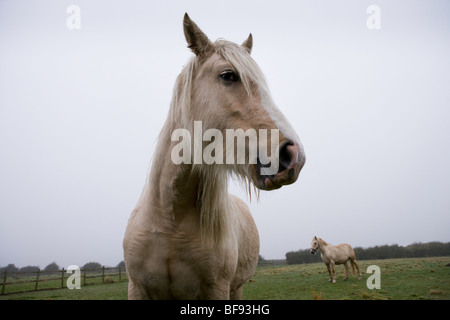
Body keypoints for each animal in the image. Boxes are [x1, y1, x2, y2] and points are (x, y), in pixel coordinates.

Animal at [123, 13, 306, 300]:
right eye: (228, 75)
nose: (293, 155)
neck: (170, 219)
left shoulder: (217, 289)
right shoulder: (137, 287)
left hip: (236, 288)